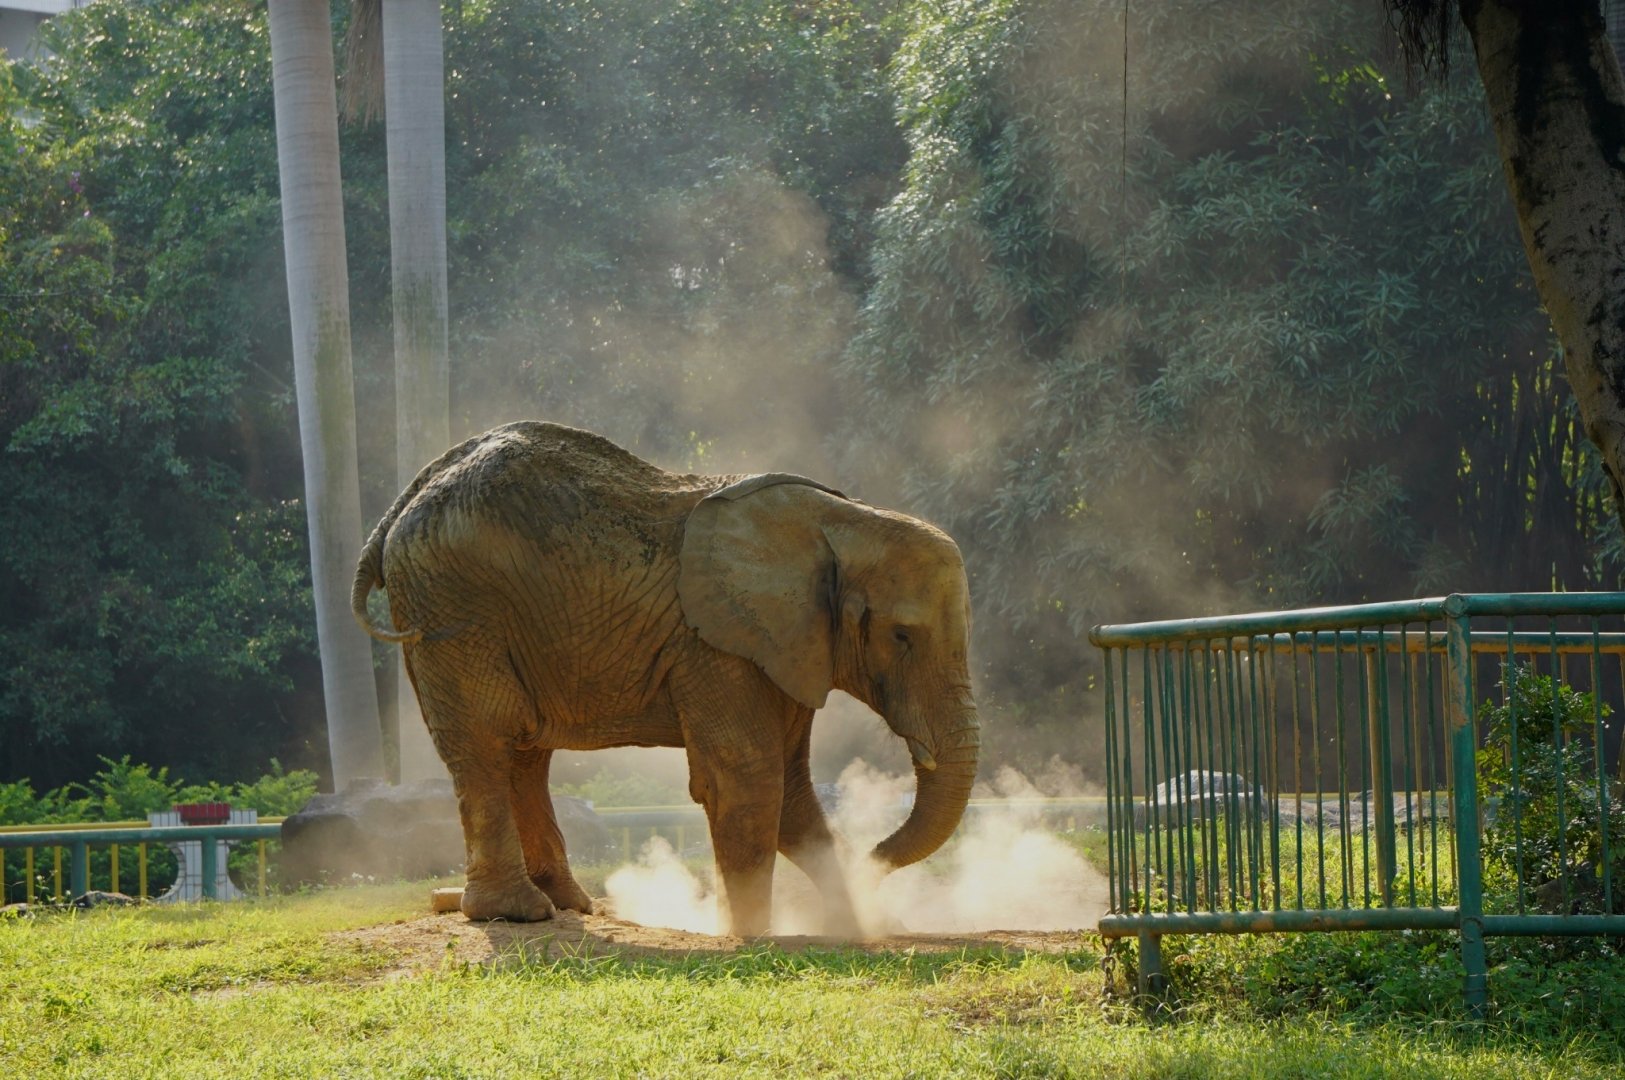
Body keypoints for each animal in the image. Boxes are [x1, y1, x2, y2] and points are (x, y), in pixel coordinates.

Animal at [351, 421, 980, 936]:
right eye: (901, 637)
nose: (872, 861)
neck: (843, 520)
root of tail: (399, 507)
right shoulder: (717, 645)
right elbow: (748, 777)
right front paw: (754, 935)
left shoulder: (785, 646)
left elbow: (793, 791)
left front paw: (852, 926)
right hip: (453, 608)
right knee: (490, 738)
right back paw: (516, 913)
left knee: (526, 752)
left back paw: (569, 905)